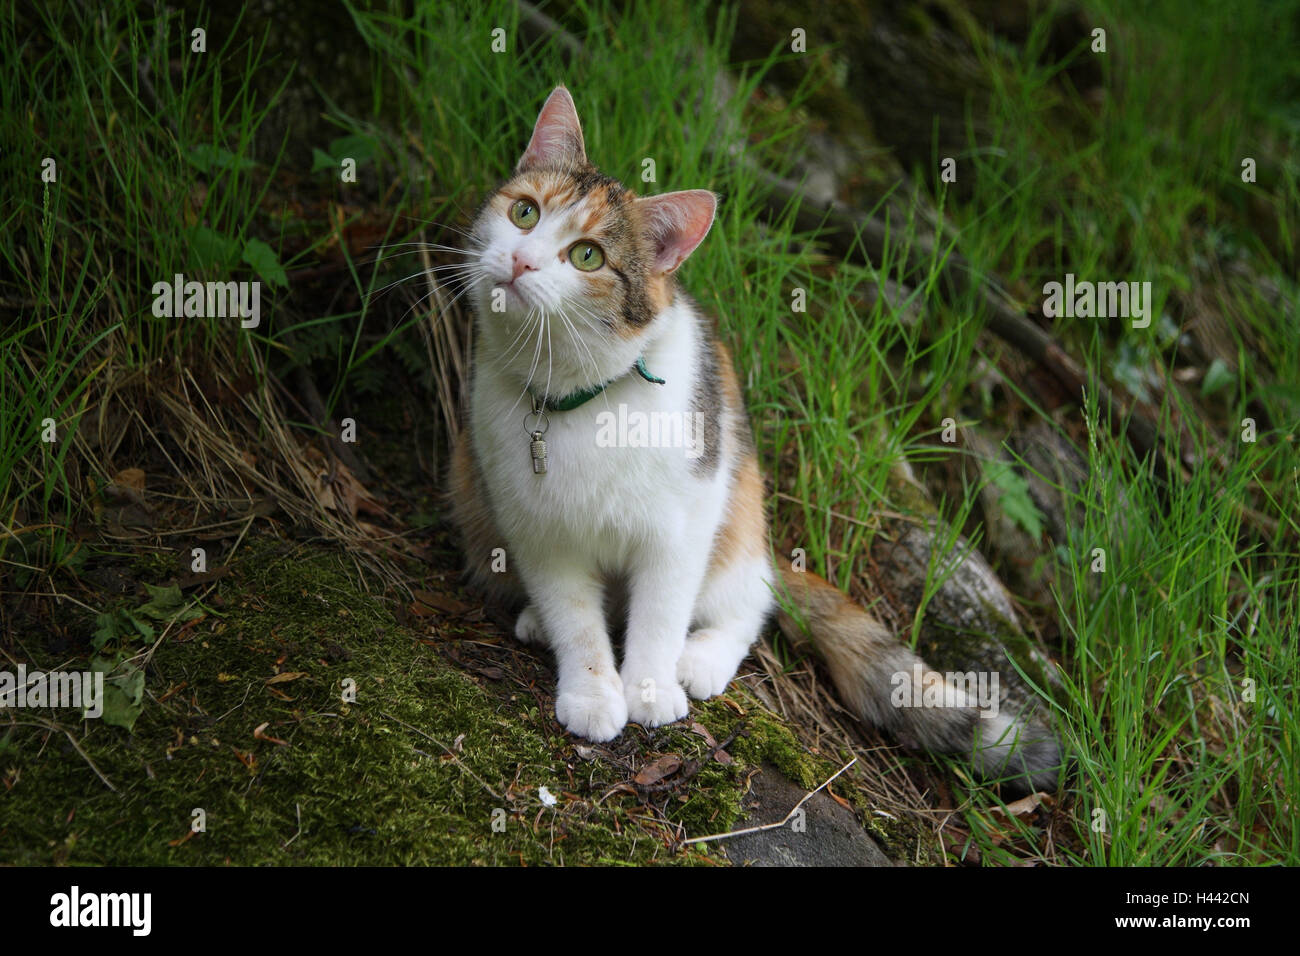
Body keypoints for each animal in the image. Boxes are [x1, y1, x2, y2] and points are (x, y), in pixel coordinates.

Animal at [452, 85, 1060, 790]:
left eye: (587, 256)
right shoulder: (538, 533)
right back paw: (537, 622)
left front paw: (650, 687)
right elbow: (576, 620)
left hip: (738, 507)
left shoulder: (685, 519)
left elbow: (662, 613)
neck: (578, 399)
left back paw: (701, 658)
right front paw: (592, 692)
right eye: (524, 212)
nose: (521, 260)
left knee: (753, 599)